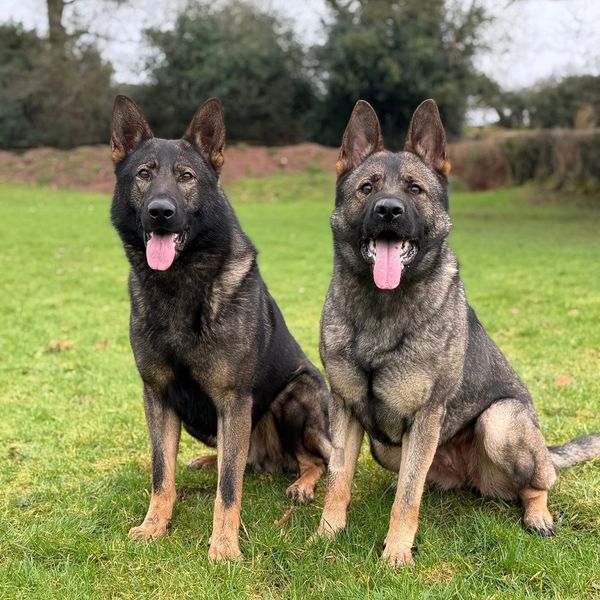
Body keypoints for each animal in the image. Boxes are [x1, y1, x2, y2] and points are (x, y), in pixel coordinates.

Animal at [110, 95, 331, 561]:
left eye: (186, 177)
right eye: (144, 174)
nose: (161, 212)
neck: (179, 285)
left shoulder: (233, 400)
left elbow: (229, 489)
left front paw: (225, 548)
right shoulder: (158, 396)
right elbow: (161, 474)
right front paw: (154, 525)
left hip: (295, 396)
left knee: (314, 460)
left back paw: (301, 484)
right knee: (238, 459)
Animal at [315, 98, 600, 567]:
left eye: (414, 189)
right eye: (367, 188)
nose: (388, 210)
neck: (381, 307)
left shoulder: (426, 416)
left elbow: (407, 499)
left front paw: (396, 553)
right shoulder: (346, 409)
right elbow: (339, 480)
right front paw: (326, 534)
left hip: (501, 423)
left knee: (538, 482)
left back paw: (537, 514)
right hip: (388, 448)